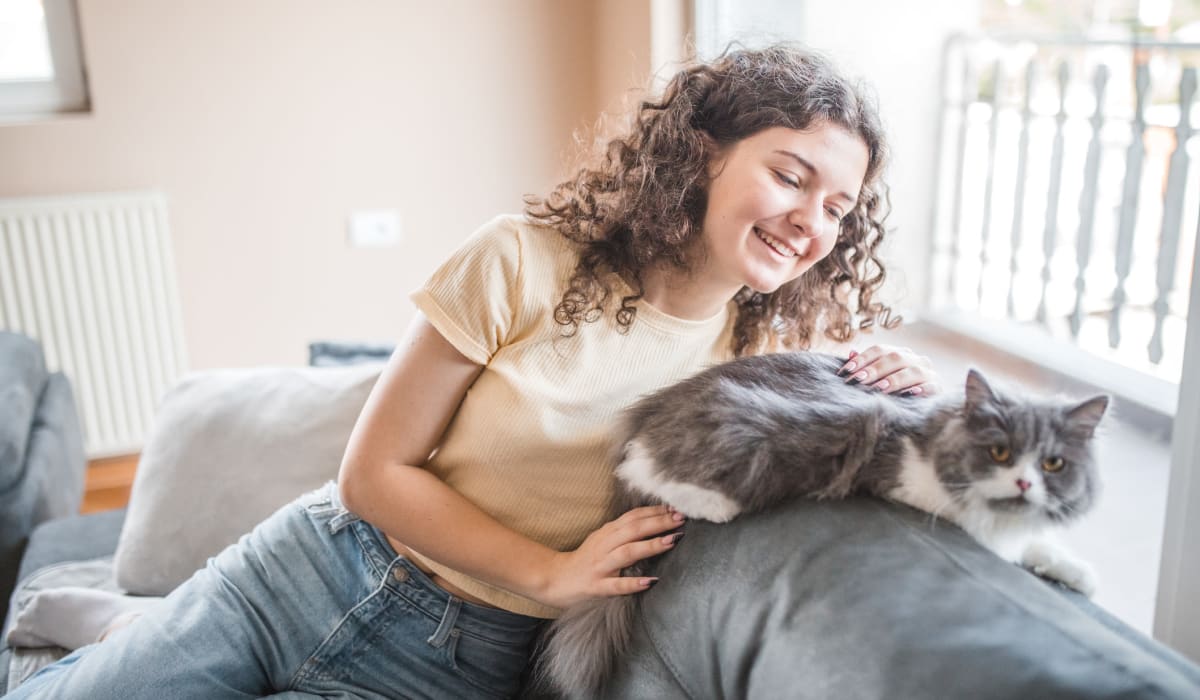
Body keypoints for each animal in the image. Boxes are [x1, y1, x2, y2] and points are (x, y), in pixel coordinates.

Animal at [540, 353, 1108, 696]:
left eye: (1054, 464)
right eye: (1000, 452)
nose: (1024, 484)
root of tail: (648, 410)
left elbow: (1035, 546)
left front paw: (1074, 573)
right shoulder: (893, 461)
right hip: (757, 431)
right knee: (646, 466)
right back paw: (712, 505)